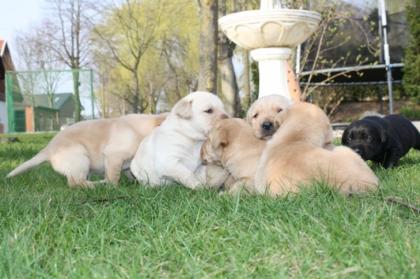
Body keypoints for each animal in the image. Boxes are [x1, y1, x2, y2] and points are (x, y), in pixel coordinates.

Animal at [6, 114, 167, 188]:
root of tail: (48, 149)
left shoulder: (125, 164)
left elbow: (129, 172)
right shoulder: (113, 156)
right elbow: (113, 177)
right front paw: (115, 188)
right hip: (80, 158)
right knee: (75, 182)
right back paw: (95, 185)